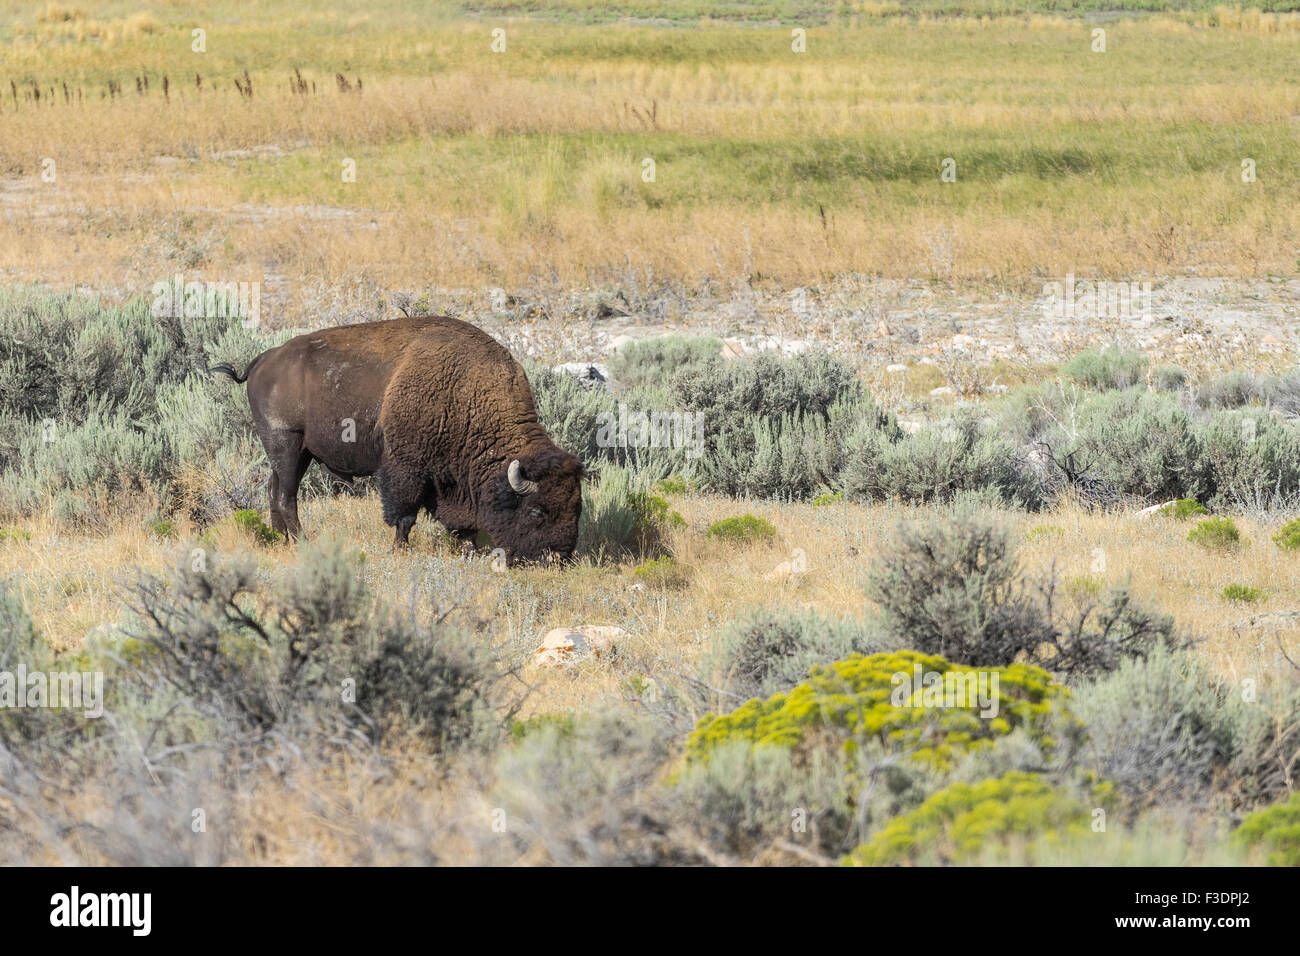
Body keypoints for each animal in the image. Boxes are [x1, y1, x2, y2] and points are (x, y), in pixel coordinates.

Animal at [212, 315, 584, 564]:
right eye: (537, 512)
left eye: (577, 507)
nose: (559, 557)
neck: (467, 394)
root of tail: (264, 359)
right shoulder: (405, 468)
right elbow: (404, 514)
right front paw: (400, 549)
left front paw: (468, 548)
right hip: (286, 443)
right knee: (286, 495)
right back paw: (303, 541)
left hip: (294, 452)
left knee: (273, 488)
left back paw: (281, 540)